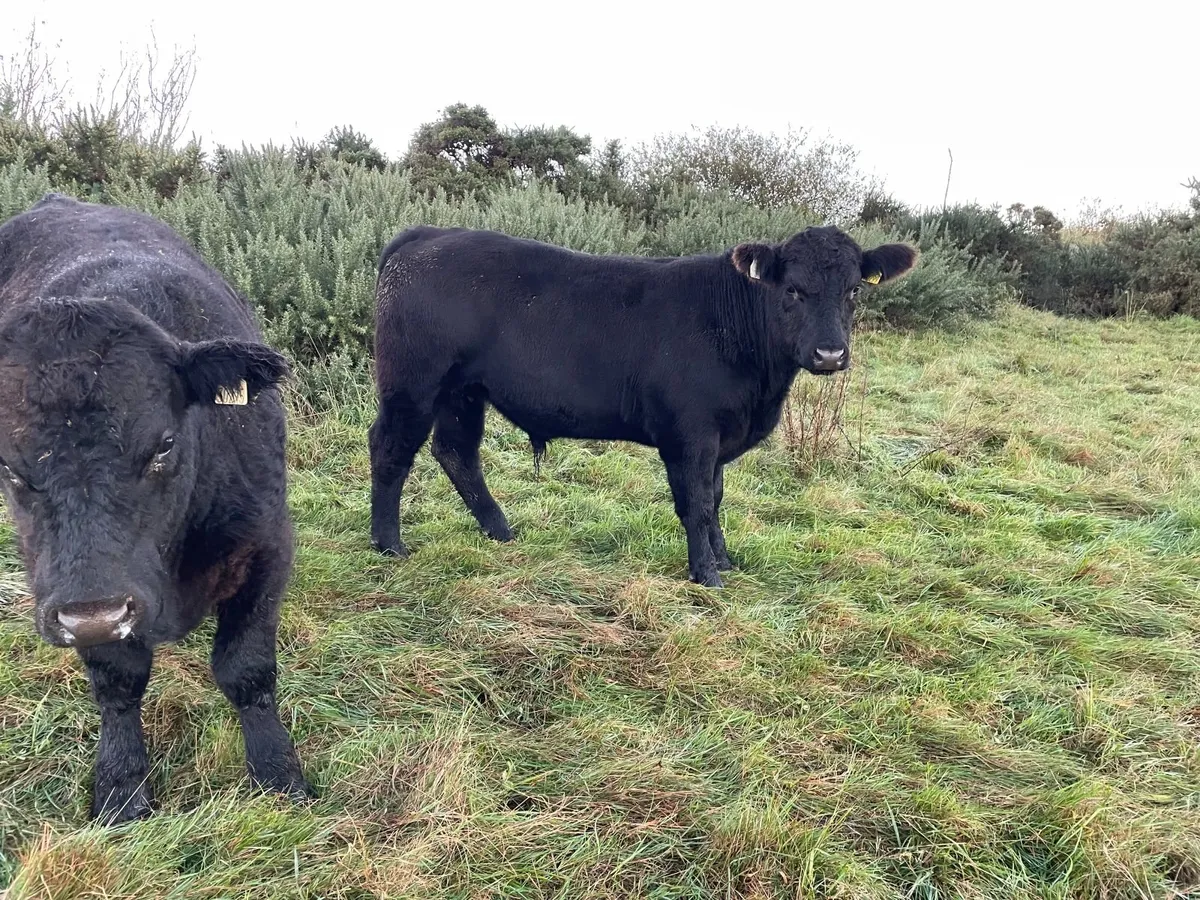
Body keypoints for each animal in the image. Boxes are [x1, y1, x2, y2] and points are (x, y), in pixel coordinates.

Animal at [0, 194, 310, 823]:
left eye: (164, 444)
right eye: (9, 466)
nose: (95, 612)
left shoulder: (267, 547)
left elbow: (247, 670)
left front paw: (278, 775)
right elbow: (118, 684)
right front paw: (121, 790)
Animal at [369, 225, 917, 587]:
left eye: (853, 290)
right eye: (793, 290)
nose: (830, 354)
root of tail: (429, 235)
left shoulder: (718, 436)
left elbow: (716, 498)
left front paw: (725, 560)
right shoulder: (691, 434)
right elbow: (696, 502)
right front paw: (706, 576)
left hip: (462, 391)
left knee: (456, 452)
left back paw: (501, 532)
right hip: (413, 382)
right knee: (391, 448)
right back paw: (389, 544)